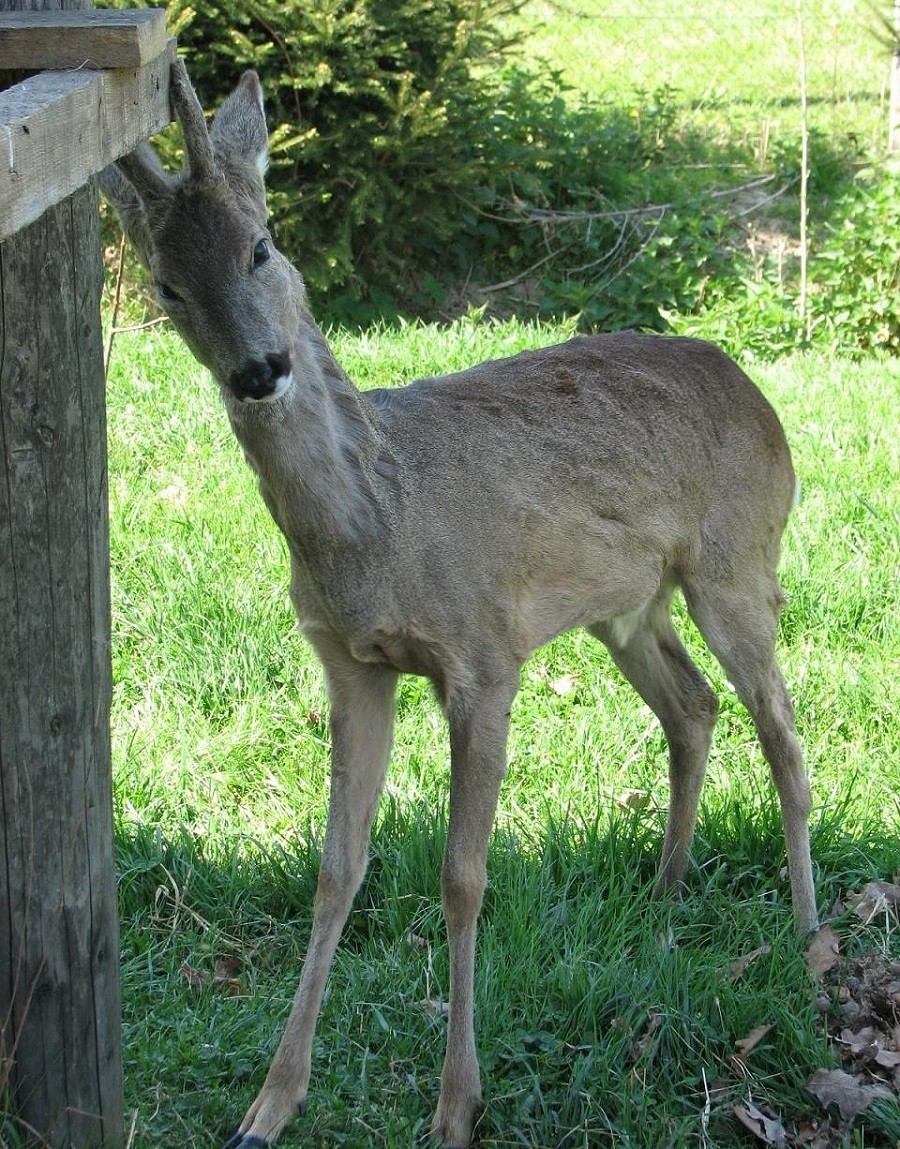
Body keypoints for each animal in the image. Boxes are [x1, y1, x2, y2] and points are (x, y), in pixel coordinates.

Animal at [102, 60, 818, 1149]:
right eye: (166, 286)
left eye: (261, 244)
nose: (259, 370)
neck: (382, 528)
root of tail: (757, 390)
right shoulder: (350, 665)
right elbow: (335, 869)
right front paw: (269, 1105)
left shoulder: (485, 656)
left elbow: (461, 876)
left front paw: (455, 1104)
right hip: (627, 605)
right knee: (694, 708)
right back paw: (663, 895)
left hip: (735, 562)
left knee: (781, 727)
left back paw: (811, 937)